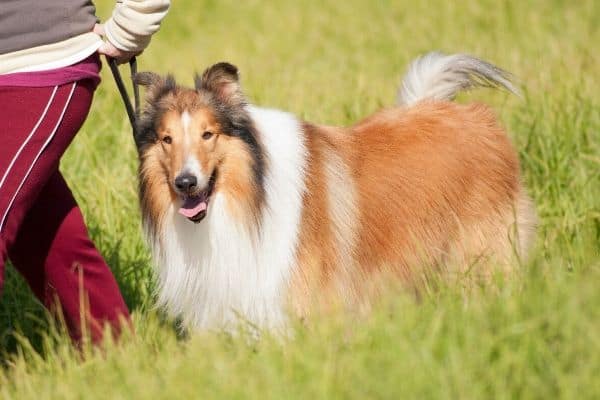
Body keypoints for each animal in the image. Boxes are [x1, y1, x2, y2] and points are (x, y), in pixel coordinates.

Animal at [135, 51, 536, 332]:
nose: (185, 182)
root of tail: (473, 116)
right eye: (167, 139)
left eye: (208, 134)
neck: (251, 196)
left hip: (480, 255)